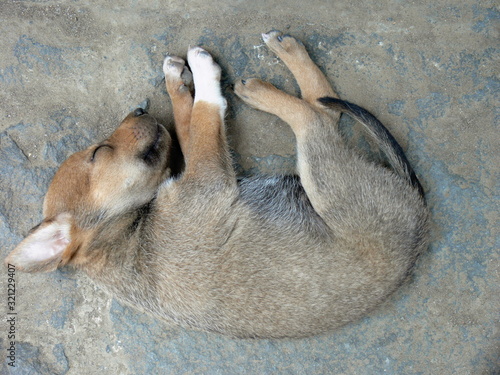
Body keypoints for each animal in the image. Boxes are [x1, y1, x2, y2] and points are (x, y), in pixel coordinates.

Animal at [2, 30, 430, 340]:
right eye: (99, 152)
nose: (139, 109)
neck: (125, 235)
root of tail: (420, 216)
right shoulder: (207, 178)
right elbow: (207, 112)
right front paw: (202, 71)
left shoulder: (197, 171)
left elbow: (188, 119)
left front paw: (177, 77)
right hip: (325, 175)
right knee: (313, 116)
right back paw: (260, 90)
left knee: (324, 105)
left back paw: (285, 48)